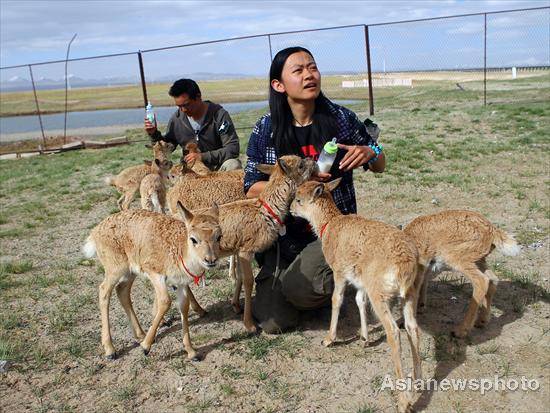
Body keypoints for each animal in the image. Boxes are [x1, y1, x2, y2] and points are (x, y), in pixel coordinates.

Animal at [294, 179, 422, 412]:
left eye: (298, 199)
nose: (290, 209)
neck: (330, 225)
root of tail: (405, 263)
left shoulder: (339, 272)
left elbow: (337, 300)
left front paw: (329, 339)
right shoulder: (360, 280)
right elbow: (359, 301)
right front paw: (364, 338)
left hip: (380, 294)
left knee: (394, 332)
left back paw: (403, 401)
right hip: (409, 294)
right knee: (412, 328)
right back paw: (417, 384)